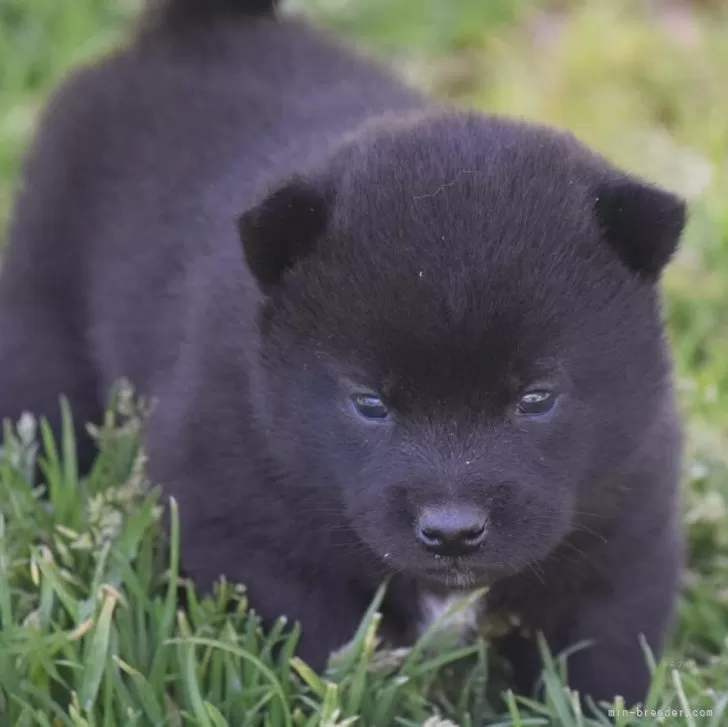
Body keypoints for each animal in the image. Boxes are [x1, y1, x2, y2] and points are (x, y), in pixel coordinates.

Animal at [0, 0, 684, 712]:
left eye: (537, 399)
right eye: (369, 404)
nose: (452, 531)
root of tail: (195, 31)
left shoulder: (625, 532)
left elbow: (601, 657)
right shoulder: (246, 530)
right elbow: (316, 641)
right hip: (43, 304)